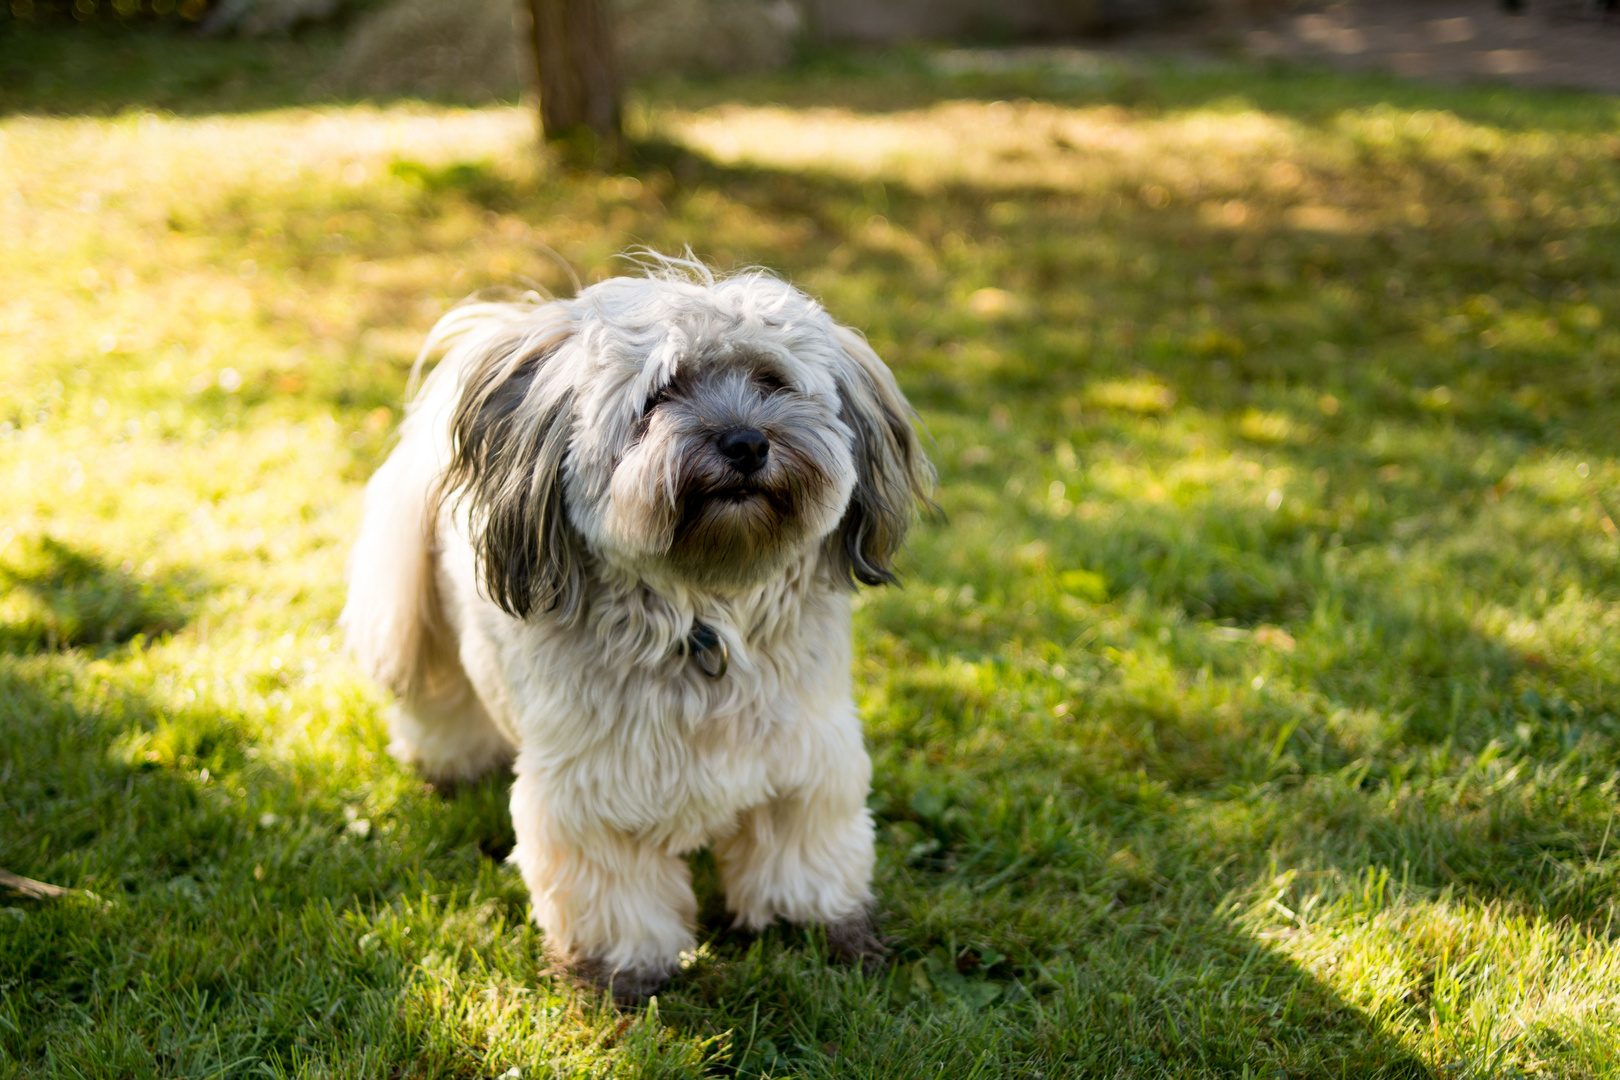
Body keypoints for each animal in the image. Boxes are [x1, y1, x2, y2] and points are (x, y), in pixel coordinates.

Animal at [345, 257, 926, 1003]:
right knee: (439, 704)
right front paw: (624, 976)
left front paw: (816, 931)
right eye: (660, 394)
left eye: (770, 380)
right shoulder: (590, 796)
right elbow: (618, 900)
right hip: (425, 631)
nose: (746, 443)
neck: (703, 615)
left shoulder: (806, 762)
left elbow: (802, 860)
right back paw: (451, 768)